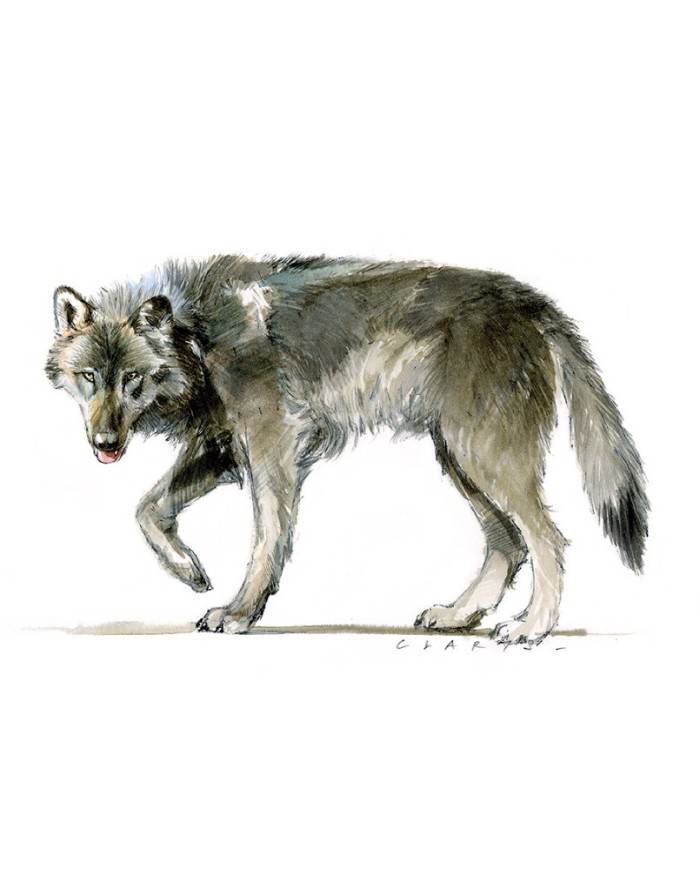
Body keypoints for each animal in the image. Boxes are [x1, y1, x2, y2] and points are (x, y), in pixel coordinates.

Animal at [46, 255, 648, 643]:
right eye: (90, 377)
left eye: (133, 380)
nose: (104, 443)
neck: (197, 335)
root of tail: (534, 302)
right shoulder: (222, 450)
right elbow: (148, 509)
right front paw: (188, 570)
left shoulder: (273, 449)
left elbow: (266, 540)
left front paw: (240, 613)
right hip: (459, 459)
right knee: (509, 545)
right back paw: (459, 616)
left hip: (485, 459)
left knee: (547, 541)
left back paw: (532, 627)